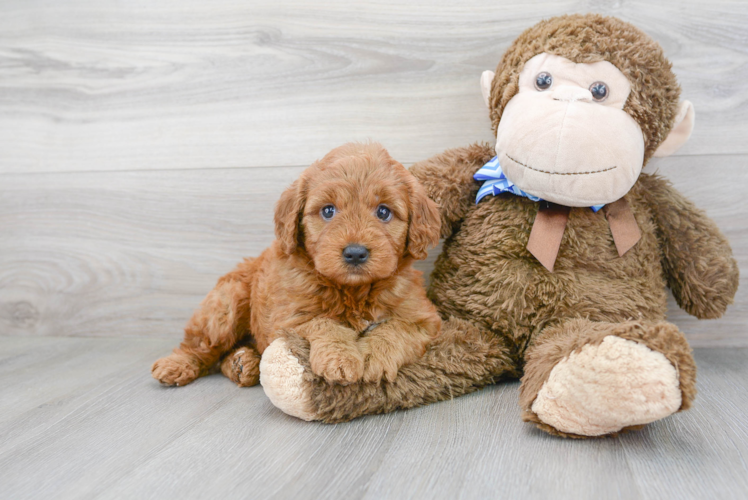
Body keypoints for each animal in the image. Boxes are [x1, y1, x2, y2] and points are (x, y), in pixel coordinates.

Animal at [153, 143, 444, 388]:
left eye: (384, 212)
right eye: (328, 211)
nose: (355, 253)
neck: (353, 290)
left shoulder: (424, 319)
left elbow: (395, 329)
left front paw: (375, 357)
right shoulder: (290, 317)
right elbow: (326, 324)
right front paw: (340, 359)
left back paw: (242, 363)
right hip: (226, 304)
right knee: (200, 343)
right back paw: (178, 364)